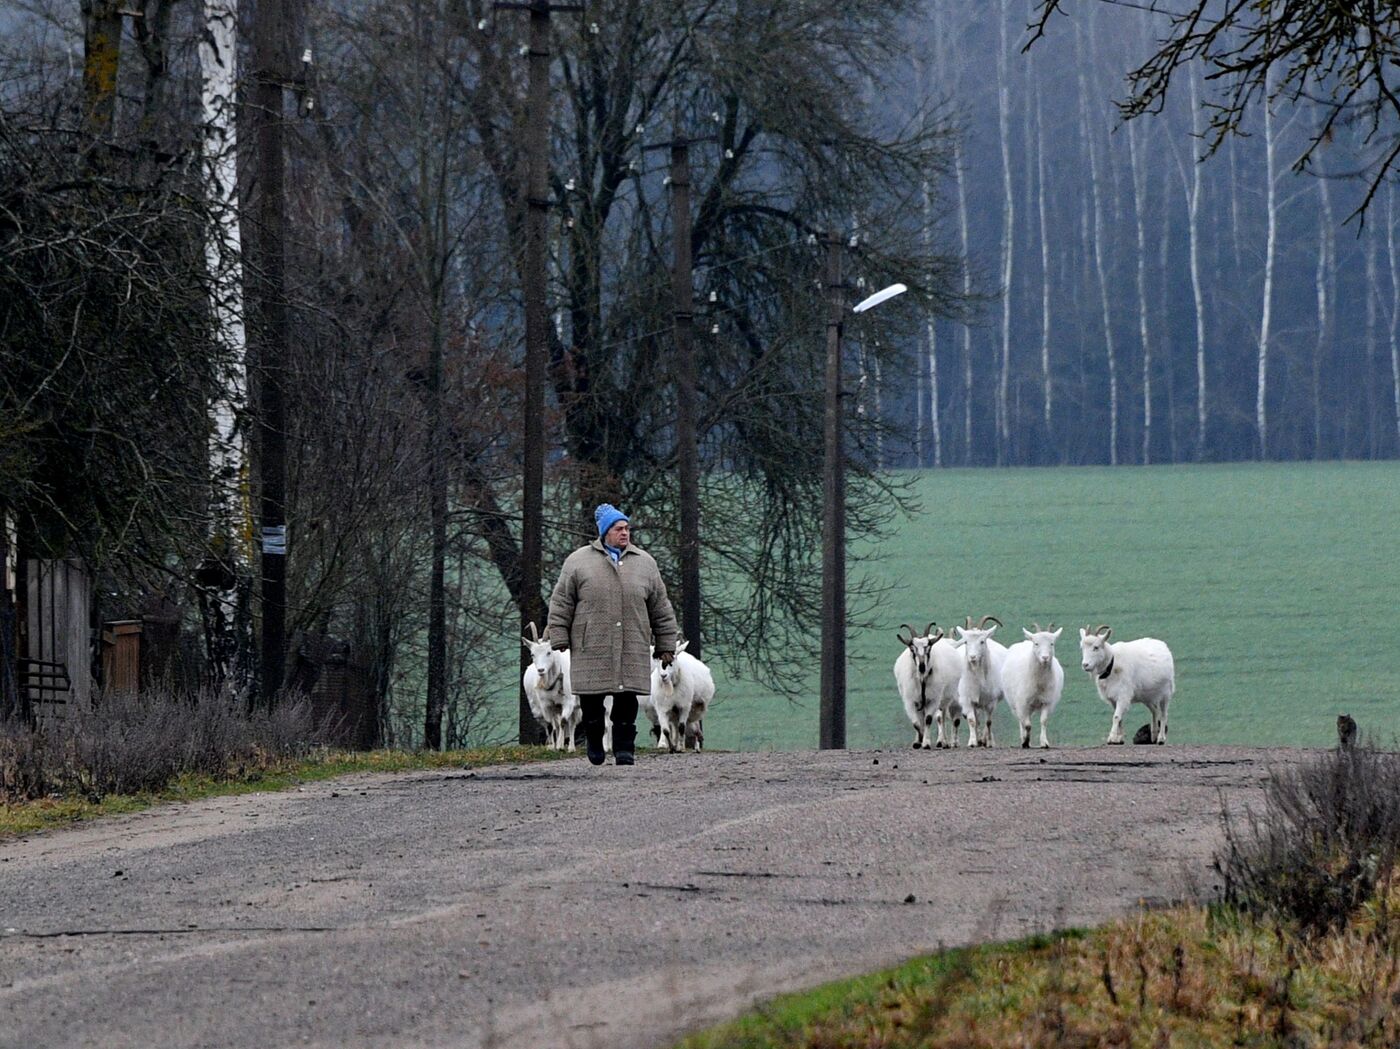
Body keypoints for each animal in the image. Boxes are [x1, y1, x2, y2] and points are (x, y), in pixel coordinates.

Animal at [896, 619, 963, 750]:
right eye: (912, 649)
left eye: (929, 648)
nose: (922, 667)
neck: (922, 679)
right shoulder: (910, 701)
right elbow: (916, 723)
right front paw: (919, 741)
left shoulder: (933, 699)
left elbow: (928, 719)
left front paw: (926, 743)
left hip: (944, 698)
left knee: (942, 716)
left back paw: (944, 742)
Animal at [952, 613, 1008, 745]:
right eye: (966, 641)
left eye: (982, 641)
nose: (972, 657)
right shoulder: (967, 699)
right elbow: (972, 720)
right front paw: (973, 742)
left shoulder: (991, 701)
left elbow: (989, 722)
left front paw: (988, 741)